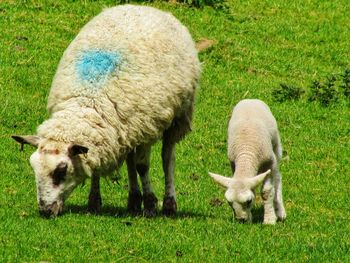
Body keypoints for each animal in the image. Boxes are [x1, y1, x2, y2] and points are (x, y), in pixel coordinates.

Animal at [12, 4, 201, 219]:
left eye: (61, 170)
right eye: (34, 167)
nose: (45, 210)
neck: (88, 99)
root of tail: (144, 7)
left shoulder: (145, 128)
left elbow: (143, 167)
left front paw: (151, 204)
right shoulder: (110, 131)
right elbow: (99, 164)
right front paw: (94, 202)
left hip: (178, 115)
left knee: (167, 157)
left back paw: (168, 204)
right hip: (128, 127)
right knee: (130, 159)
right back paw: (133, 201)